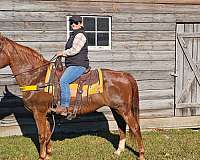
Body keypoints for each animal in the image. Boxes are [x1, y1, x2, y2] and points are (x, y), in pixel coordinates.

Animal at [0, 35, 145, 160]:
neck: (36, 77)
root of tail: (124, 75)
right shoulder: (46, 114)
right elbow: (47, 134)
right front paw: (48, 154)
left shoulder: (38, 113)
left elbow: (41, 135)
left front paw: (41, 156)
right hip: (116, 109)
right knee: (121, 127)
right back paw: (118, 151)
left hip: (124, 110)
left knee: (135, 127)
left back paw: (141, 155)